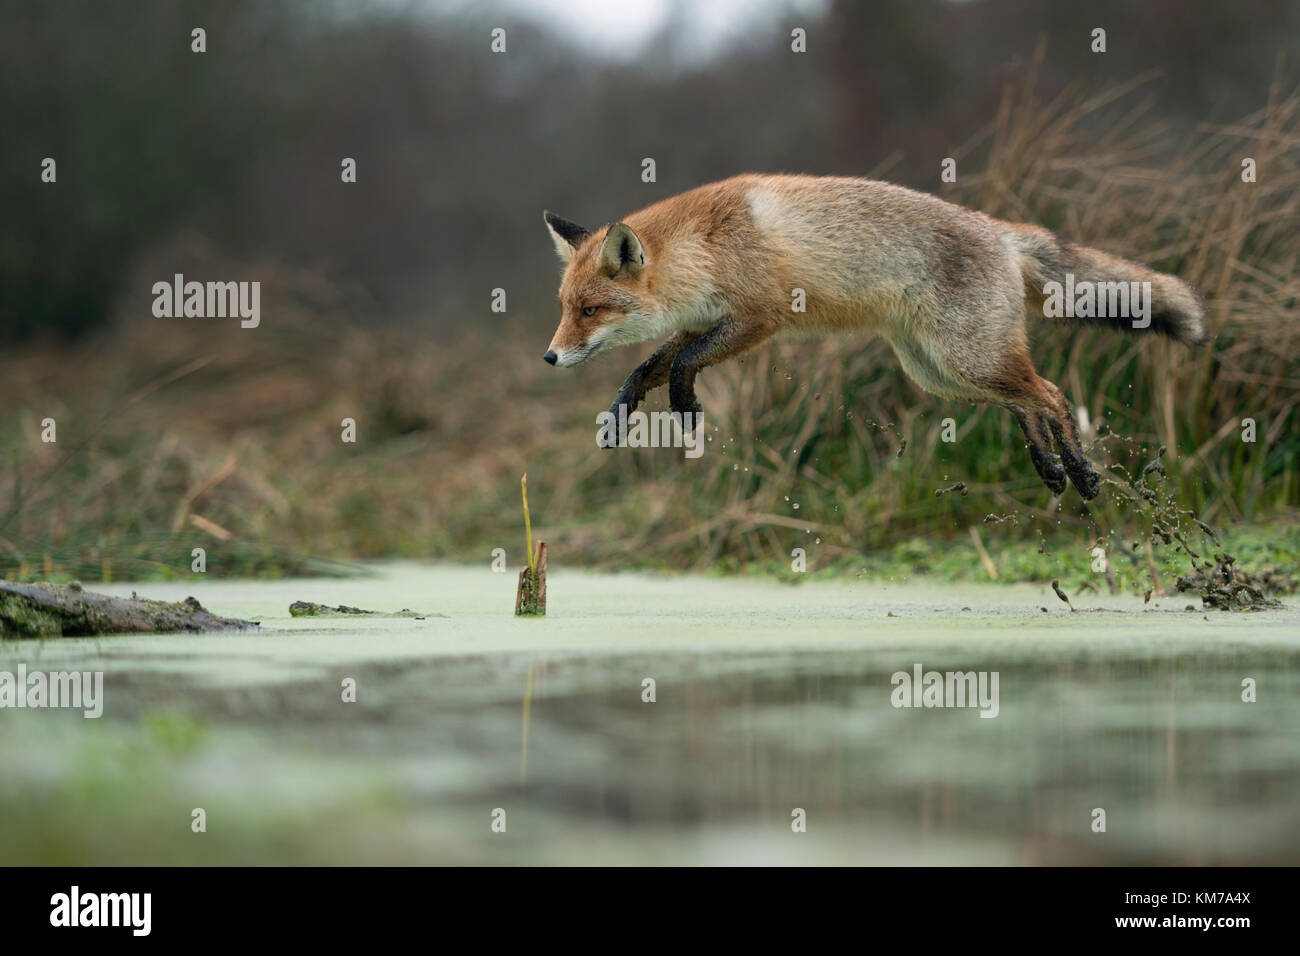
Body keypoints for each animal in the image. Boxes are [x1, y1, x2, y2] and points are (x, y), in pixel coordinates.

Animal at [540, 174, 1206, 502]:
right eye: (566, 308)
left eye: (591, 310)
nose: (550, 356)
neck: (705, 246)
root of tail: (996, 228)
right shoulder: (706, 322)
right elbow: (647, 367)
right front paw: (620, 415)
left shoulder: (759, 318)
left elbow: (681, 368)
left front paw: (686, 409)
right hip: (941, 373)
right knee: (1026, 399)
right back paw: (1049, 469)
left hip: (967, 361)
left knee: (1052, 393)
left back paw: (1081, 470)